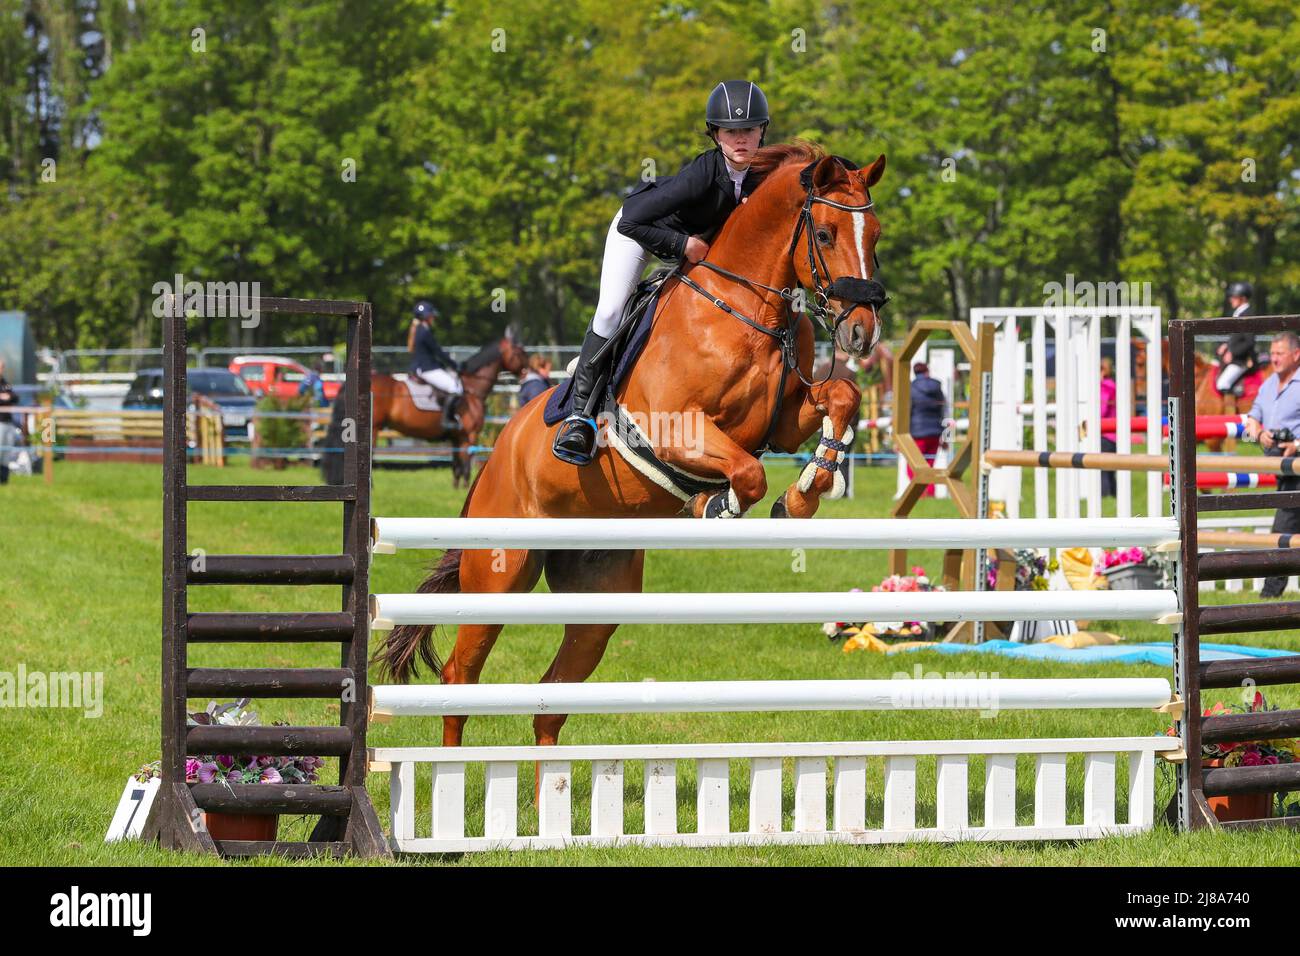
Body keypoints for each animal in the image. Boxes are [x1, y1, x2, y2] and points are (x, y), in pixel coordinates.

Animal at [321, 332, 527, 489]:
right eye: (519, 352)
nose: (526, 371)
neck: (471, 389)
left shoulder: (457, 436)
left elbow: (456, 463)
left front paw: (456, 486)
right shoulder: (470, 434)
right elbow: (466, 462)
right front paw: (466, 487)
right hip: (373, 428)